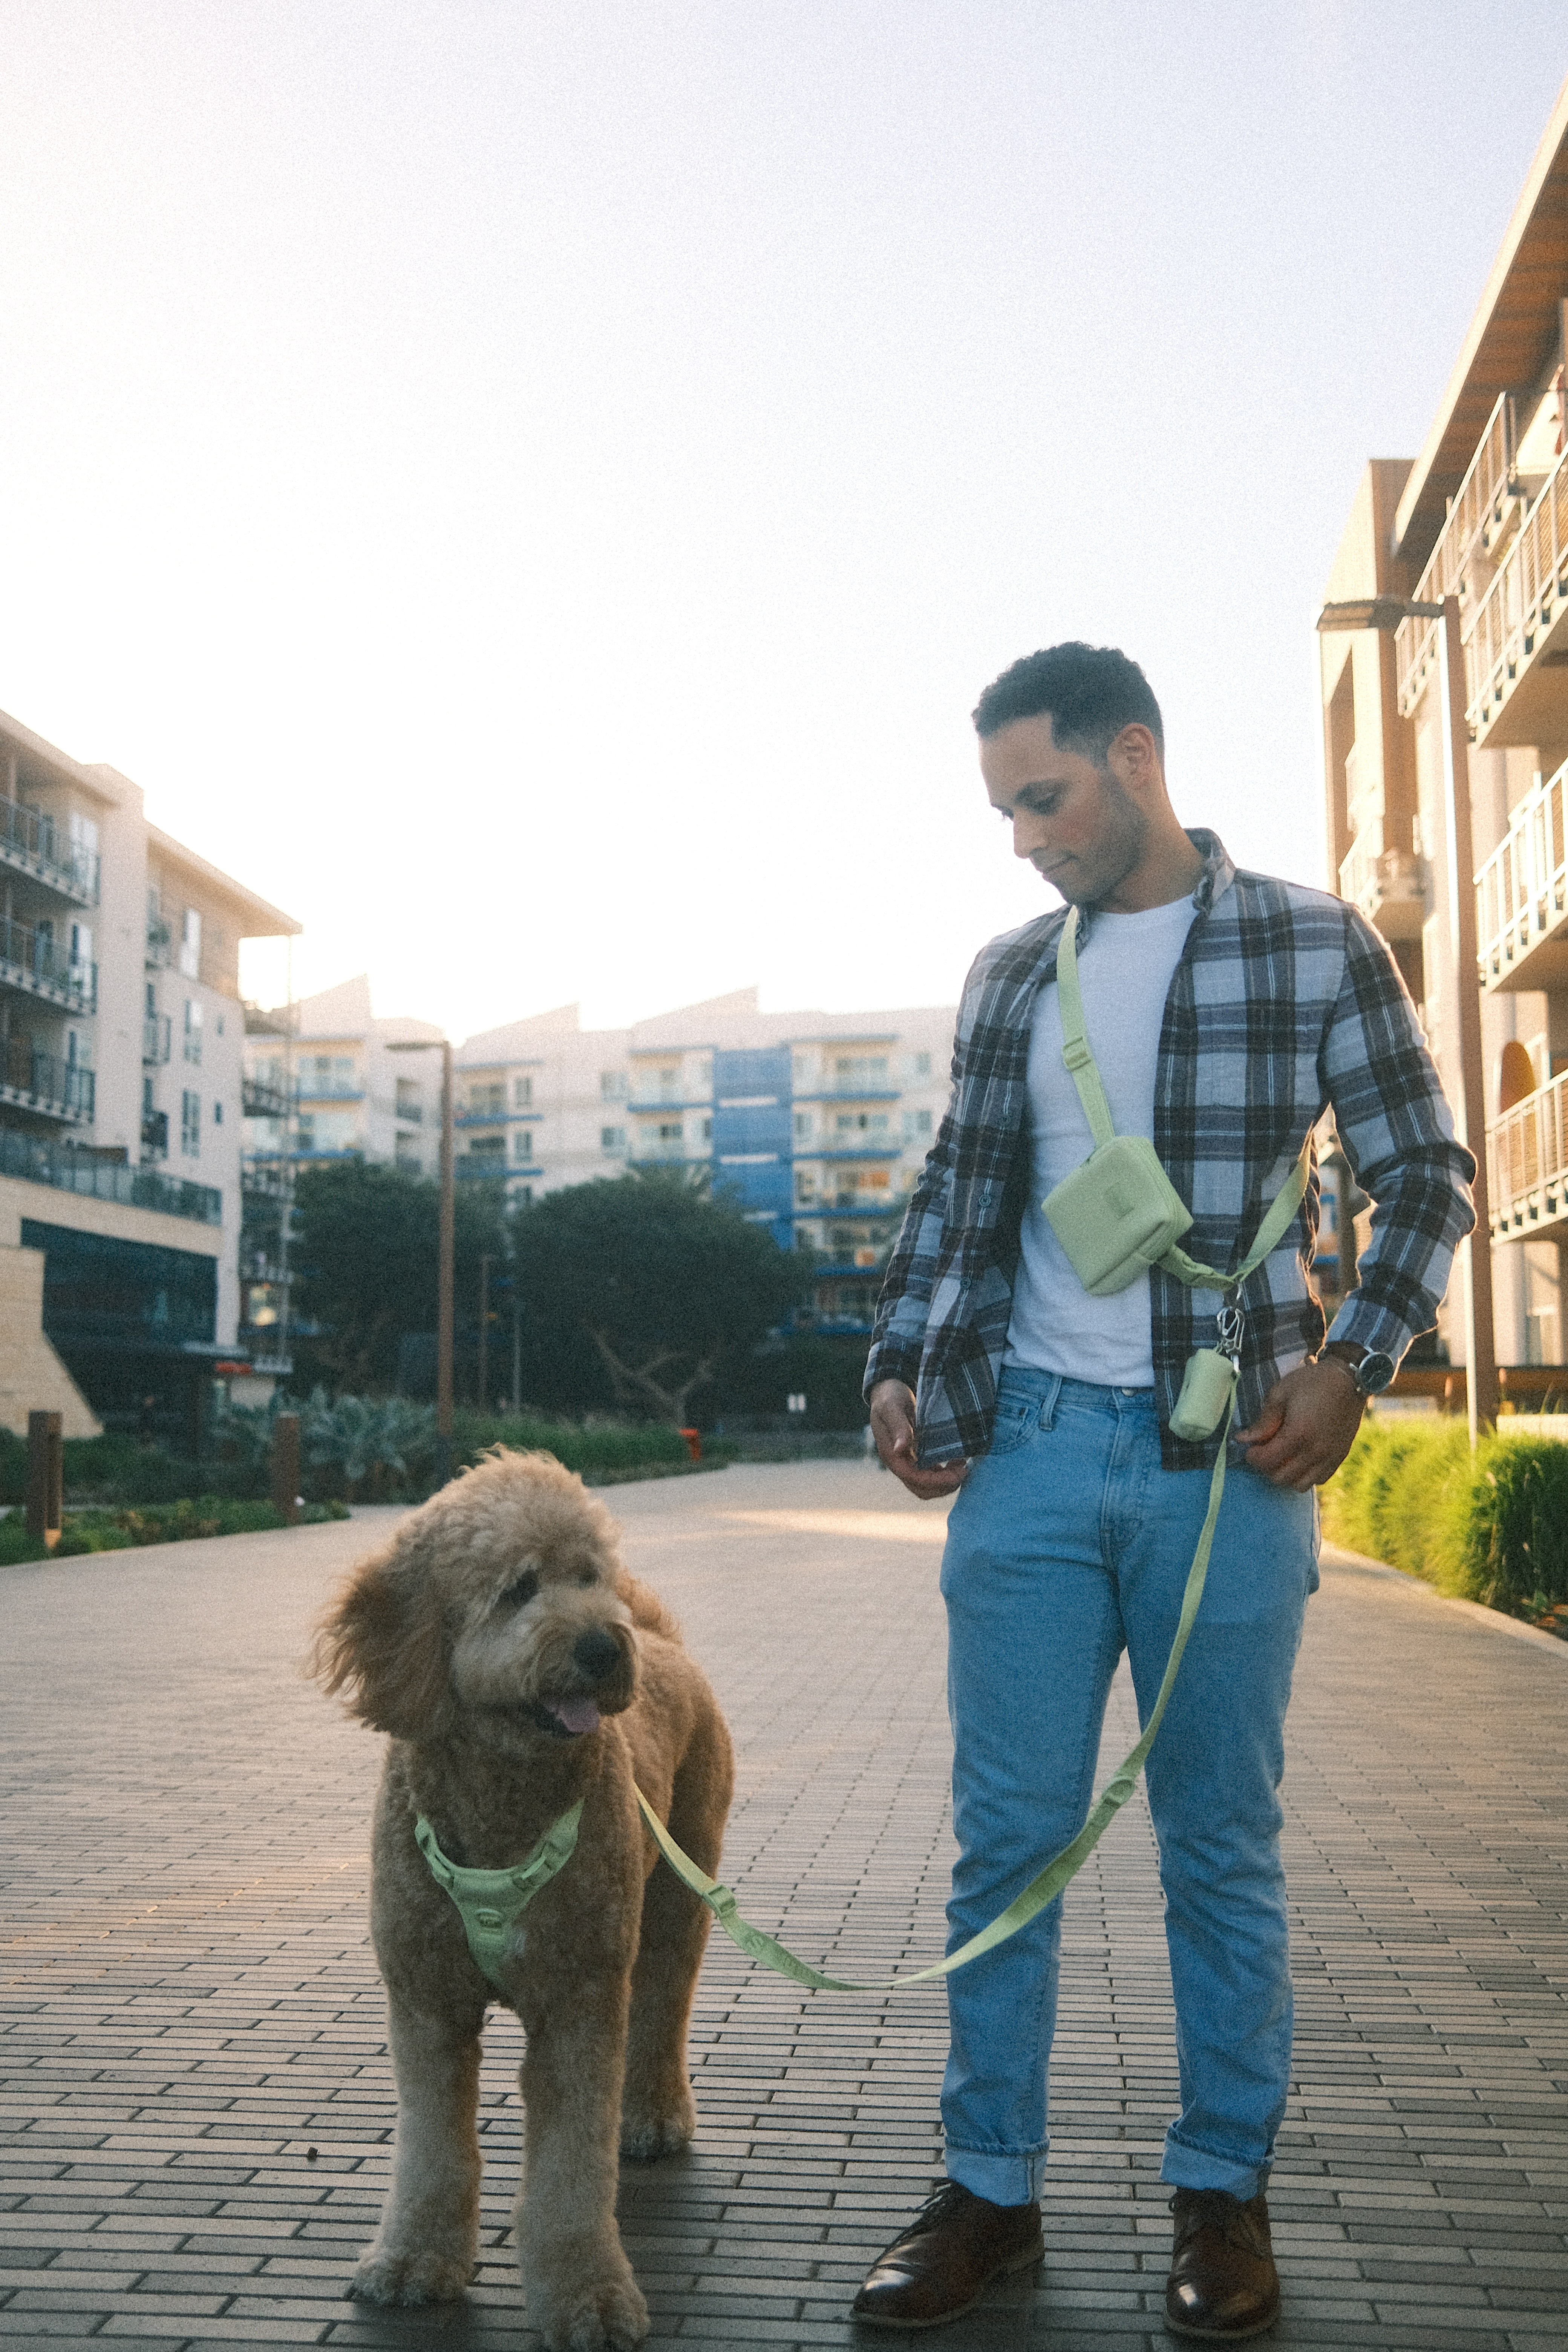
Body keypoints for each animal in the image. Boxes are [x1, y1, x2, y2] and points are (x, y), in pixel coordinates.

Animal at [320, 1449, 743, 2352]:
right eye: (519, 1587)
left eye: (589, 1576)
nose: (603, 1646)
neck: (504, 1807)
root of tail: (662, 1639)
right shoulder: (427, 2003)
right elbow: (431, 2150)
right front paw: (411, 2262)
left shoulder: (577, 2004)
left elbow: (572, 2170)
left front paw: (590, 2298)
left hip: (676, 1900)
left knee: (663, 2006)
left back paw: (652, 2115)